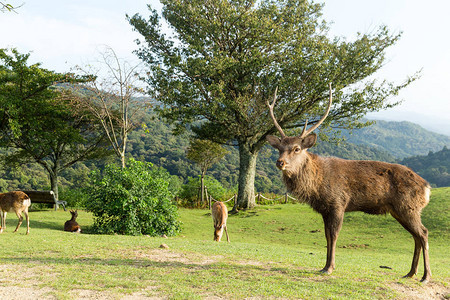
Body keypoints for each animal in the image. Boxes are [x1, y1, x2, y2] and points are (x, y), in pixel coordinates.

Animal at [266, 83, 430, 282]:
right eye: (279, 148)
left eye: (297, 148)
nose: (280, 162)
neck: (317, 185)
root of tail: (427, 187)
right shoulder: (325, 209)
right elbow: (327, 236)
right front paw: (324, 266)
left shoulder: (338, 203)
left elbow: (334, 235)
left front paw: (330, 268)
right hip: (400, 210)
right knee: (416, 236)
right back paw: (410, 273)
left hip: (408, 207)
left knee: (423, 233)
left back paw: (426, 276)